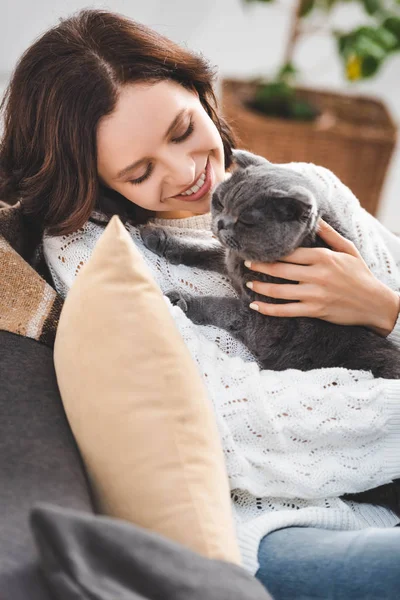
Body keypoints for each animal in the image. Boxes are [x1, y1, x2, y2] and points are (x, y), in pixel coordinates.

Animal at [141, 150, 400, 516]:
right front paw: (161, 238)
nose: (222, 223)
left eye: (247, 220)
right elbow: (210, 251)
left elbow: (222, 305)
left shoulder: (266, 323)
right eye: (219, 201)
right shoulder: (232, 260)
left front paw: (182, 299)